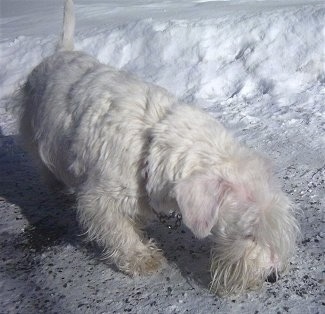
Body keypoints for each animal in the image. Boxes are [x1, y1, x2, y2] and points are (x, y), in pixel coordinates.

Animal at [15, 0, 298, 294]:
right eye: (249, 233)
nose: (273, 276)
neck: (152, 142)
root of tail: (62, 51)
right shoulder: (100, 197)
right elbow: (118, 230)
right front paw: (142, 258)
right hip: (34, 130)